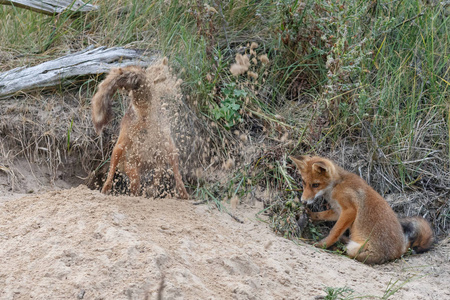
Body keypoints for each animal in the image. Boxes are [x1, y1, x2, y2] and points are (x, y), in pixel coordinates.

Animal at [290, 156, 434, 264]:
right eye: (304, 182)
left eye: (315, 185)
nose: (303, 201)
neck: (338, 185)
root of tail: (402, 249)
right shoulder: (338, 210)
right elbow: (321, 215)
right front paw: (309, 214)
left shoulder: (349, 210)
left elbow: (334, 232)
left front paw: (322, 244)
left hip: (357, 249)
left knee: (349, 253)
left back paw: (336, 247)